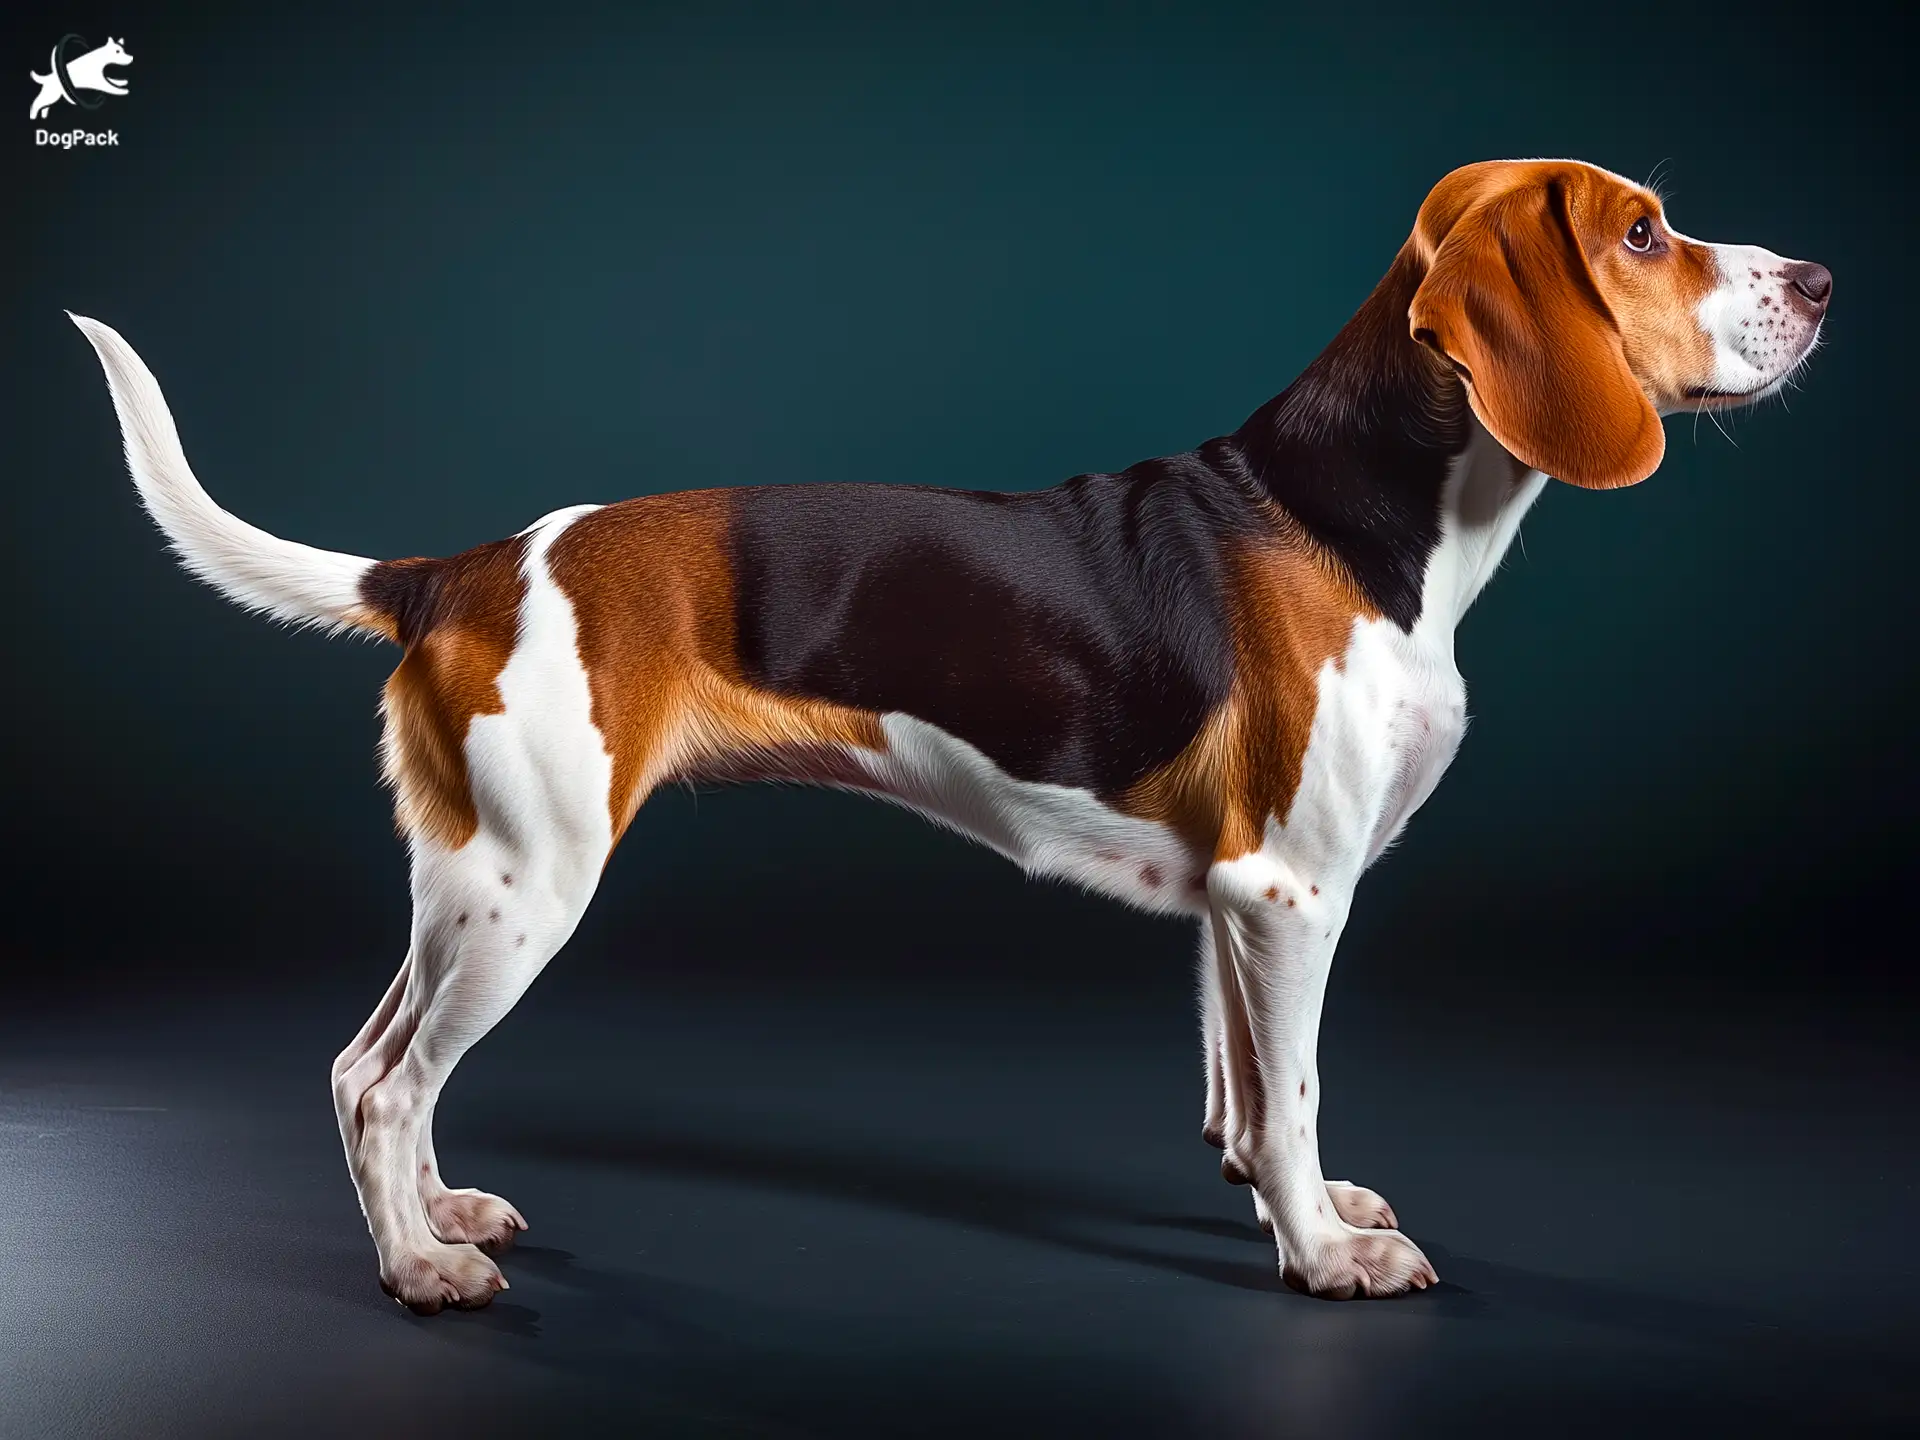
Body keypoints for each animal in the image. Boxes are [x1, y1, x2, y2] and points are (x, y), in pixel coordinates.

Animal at [71, 160, 1827, 1320]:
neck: (1359, 511)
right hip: (529, 885)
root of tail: (460, 567)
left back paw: (438, 1213)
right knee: (384, 1086)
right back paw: (416, 1268)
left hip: (465, 883)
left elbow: (1248, 1098)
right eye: (1644, 230)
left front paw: (1293, 1204)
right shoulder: (1292, 894)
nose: (1819, 283)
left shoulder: (1233, 906)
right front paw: (1327, 1255)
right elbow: (1299, 1088)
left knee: (372, 1068)